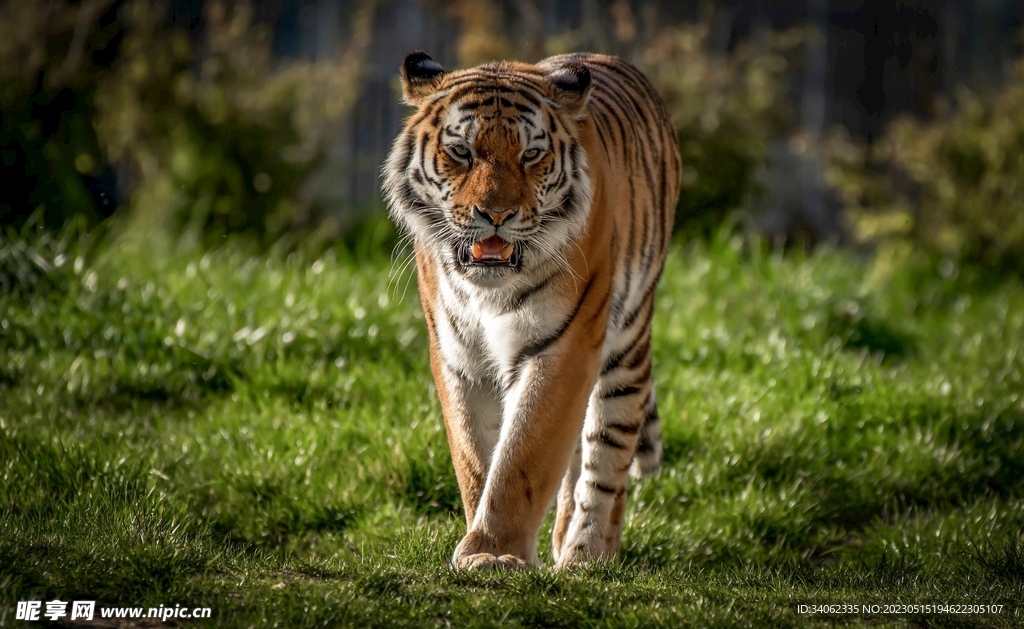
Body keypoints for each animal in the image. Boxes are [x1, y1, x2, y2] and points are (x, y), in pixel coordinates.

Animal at [382, 50, 681, 569]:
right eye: (462, 152)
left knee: (608, 452)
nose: (495, 215)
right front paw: (482, 544)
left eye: (530, 155)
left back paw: (587, 554)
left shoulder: (565, 345)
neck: (489, 291)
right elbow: (475, 456)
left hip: (626, 346)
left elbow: (525, 453)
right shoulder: (457, 356)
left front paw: (494, 552)